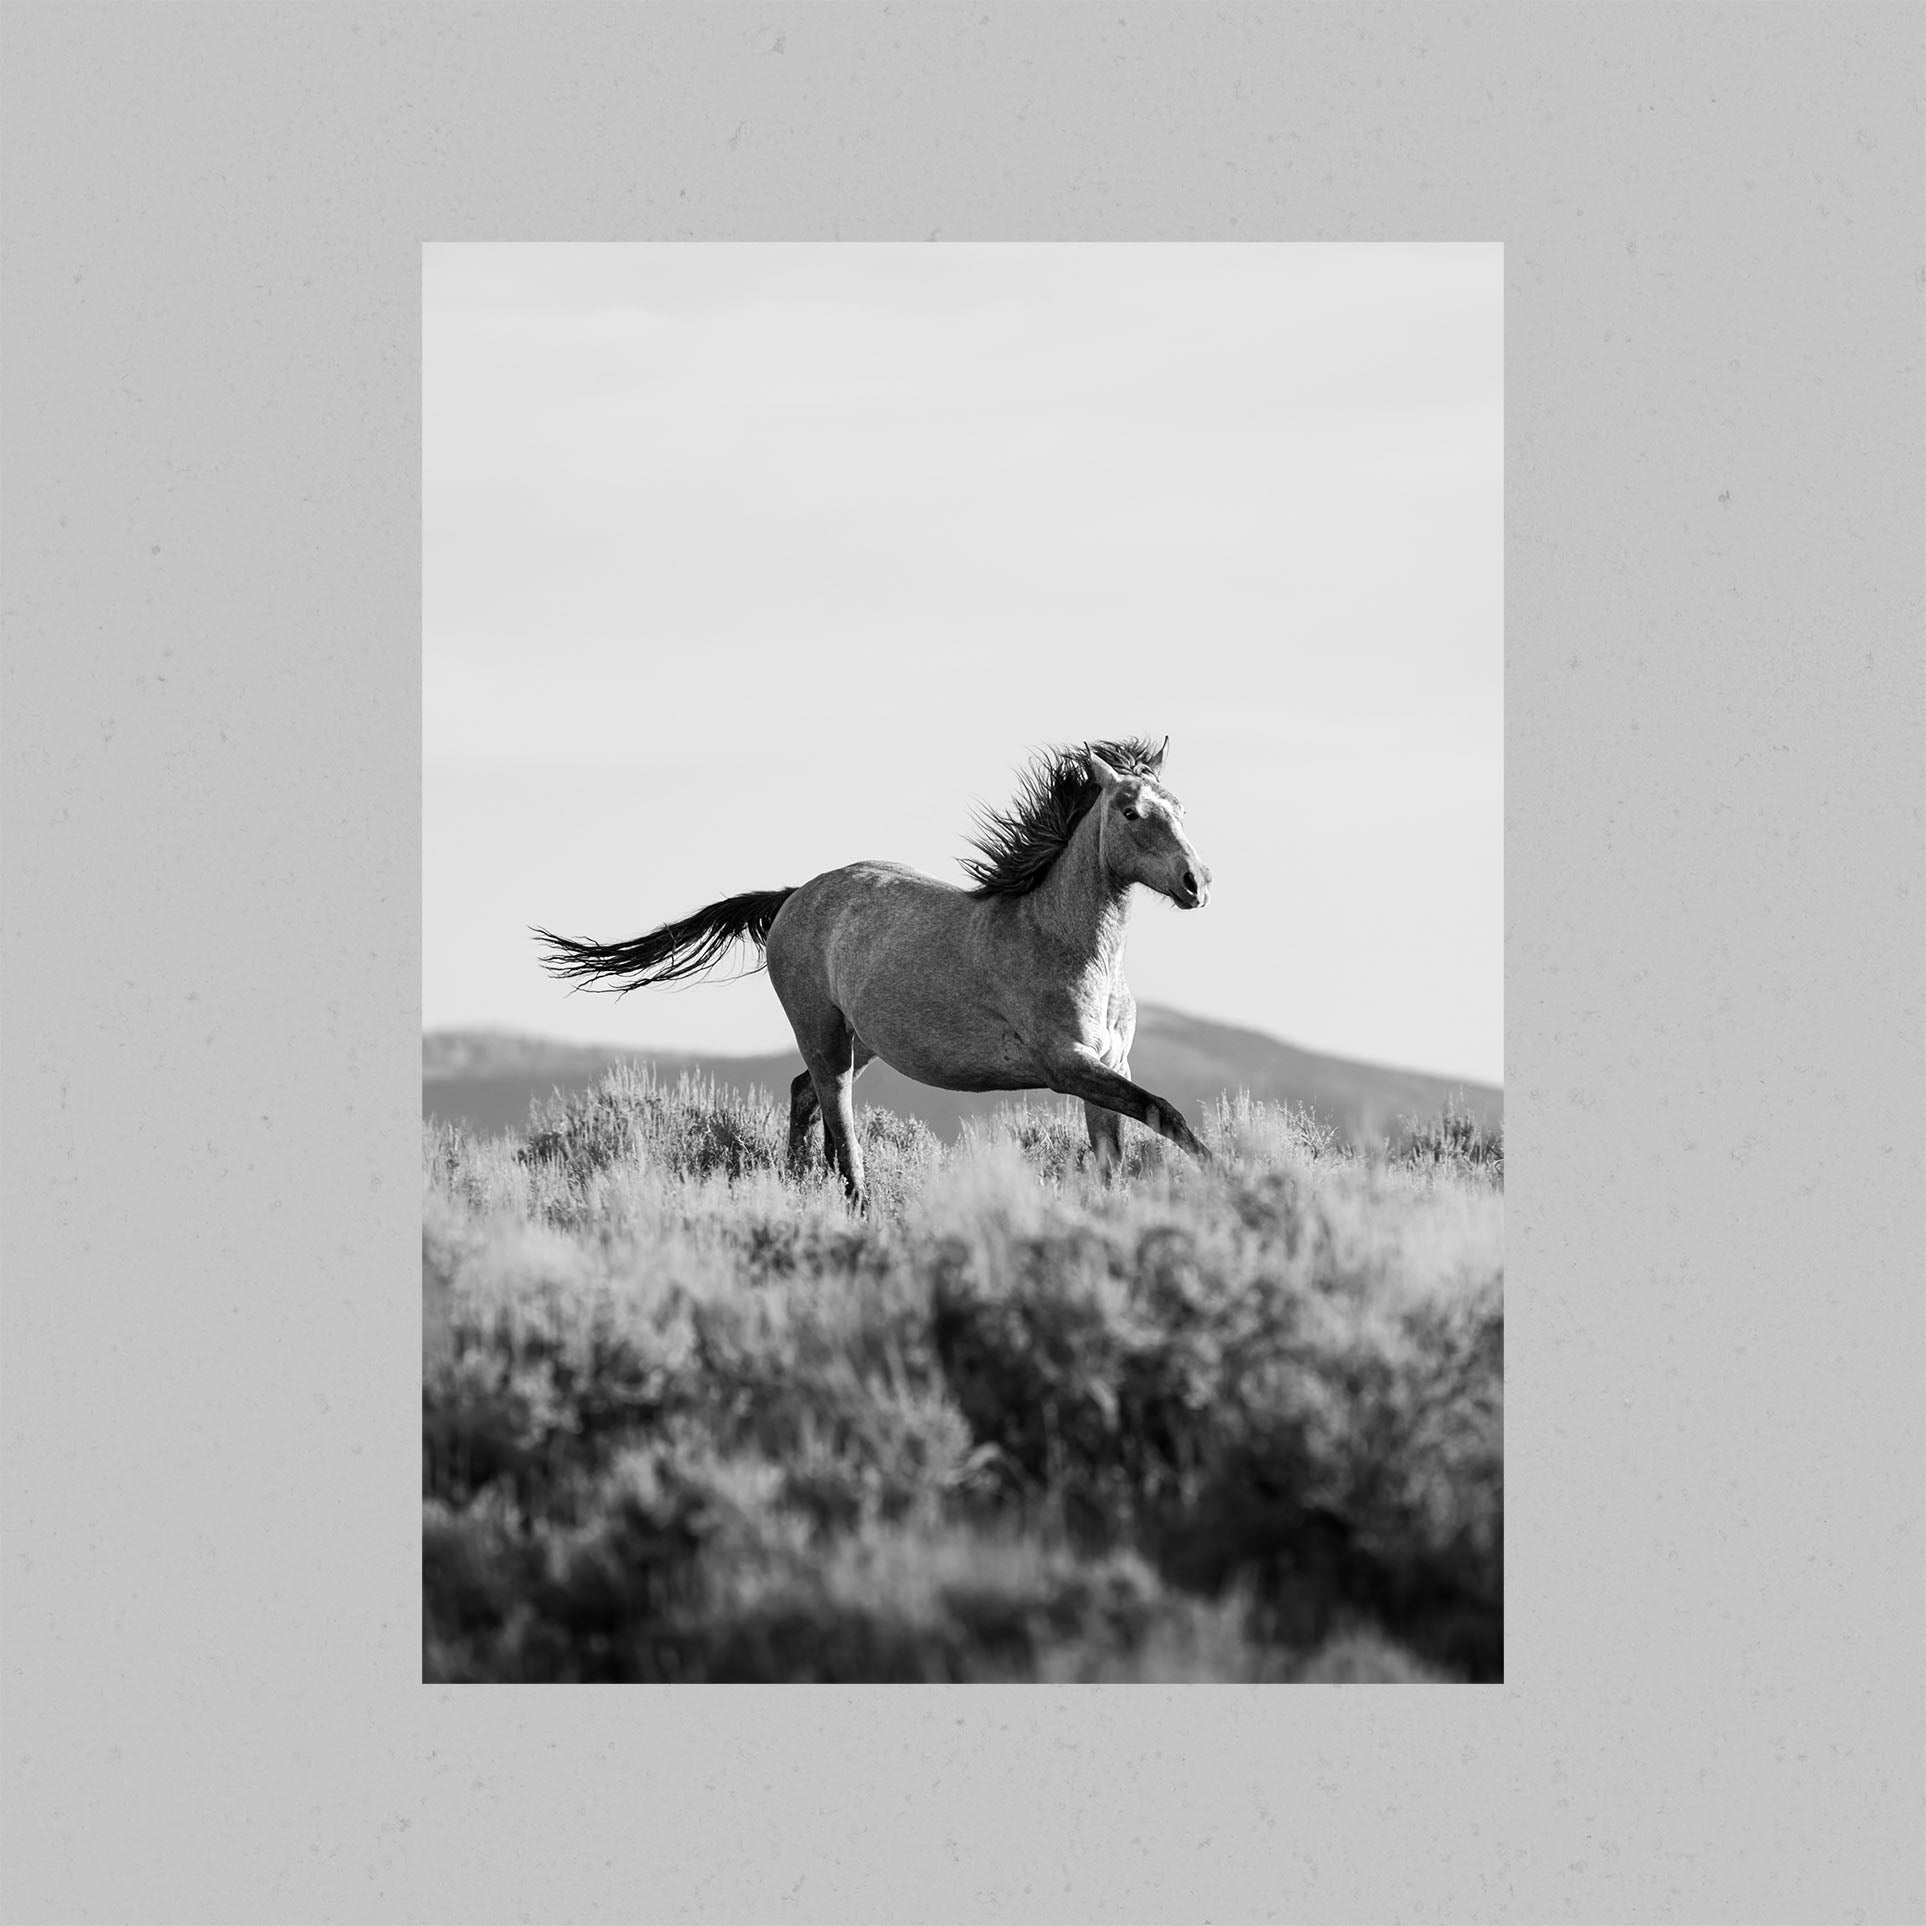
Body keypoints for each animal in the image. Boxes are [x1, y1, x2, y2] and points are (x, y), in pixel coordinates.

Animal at [533, 735, 1214, 1209]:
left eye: (1180, 807)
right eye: (1130, 811)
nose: (1196, 883)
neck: (1062, 941)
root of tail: (794, 896)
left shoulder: (1110, 1064)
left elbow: (1120, 1152)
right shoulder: (1067, 1064)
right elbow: (1164, 1113)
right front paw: (1228, 1177)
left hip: (862, 1044)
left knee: (805, 1096)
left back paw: (797, 1186)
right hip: (825, 1034)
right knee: (839, 1118)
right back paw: (855, 1207)